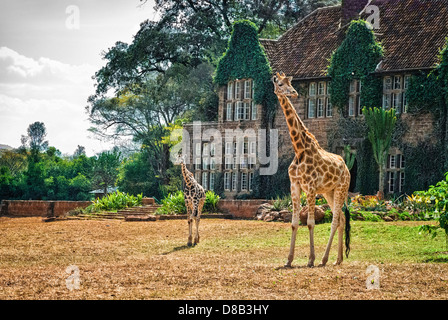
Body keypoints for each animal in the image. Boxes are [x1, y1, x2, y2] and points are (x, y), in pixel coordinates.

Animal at [272, 72, 352, 268]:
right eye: (279, 84)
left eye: (290, 83)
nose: (294, 93)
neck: (299, 149)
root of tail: (347, 168)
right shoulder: (294, 186)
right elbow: (294, 223)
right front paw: (289, 260)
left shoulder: (310, 188)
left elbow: (310, 223)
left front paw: (311, 259)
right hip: (329, 192)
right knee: (341, 219)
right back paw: (338, 259)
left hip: (341, 189)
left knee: (335, 220)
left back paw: (324, 259)